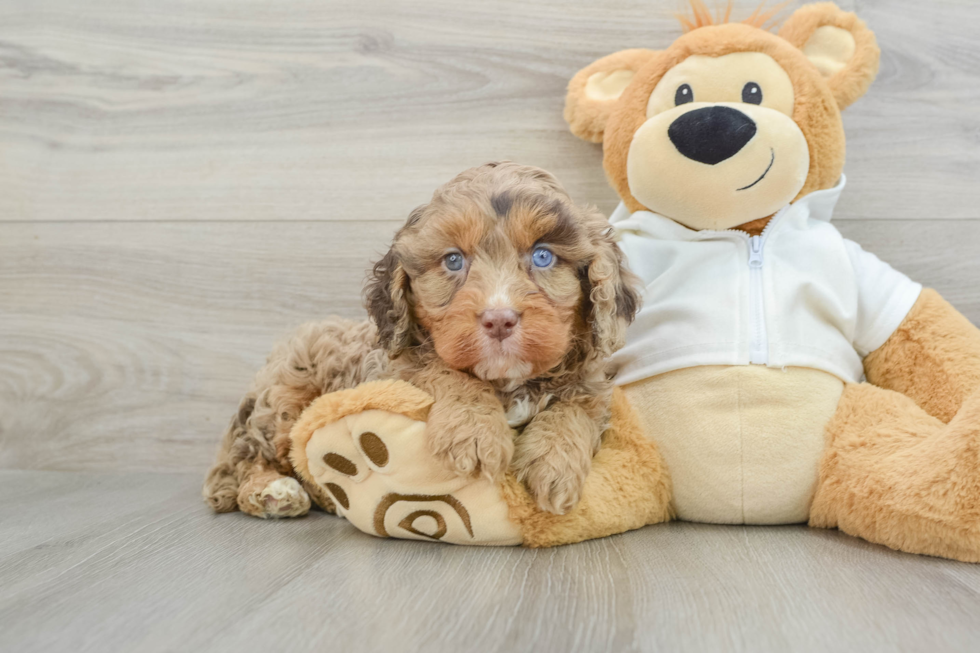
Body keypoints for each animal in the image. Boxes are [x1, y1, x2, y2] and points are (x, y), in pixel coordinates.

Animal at [203, 162, 640, 516]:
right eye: (453, 260)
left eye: (543, 256)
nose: (499, 319)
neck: (506, 382)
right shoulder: (396, 370)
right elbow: (444, 371)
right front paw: (475, 433)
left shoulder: (590, 384)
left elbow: (577, 409)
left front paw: (554, 464)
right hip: (283, 400)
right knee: (247, 456)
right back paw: (272, 492)